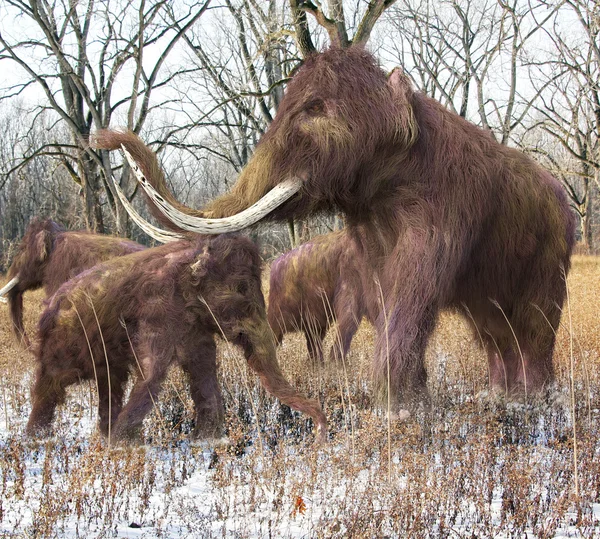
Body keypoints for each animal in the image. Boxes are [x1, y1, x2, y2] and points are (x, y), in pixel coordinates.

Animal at [27, 235, 328, 442]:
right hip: (62, 344)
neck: (194, 255)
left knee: (109, 382)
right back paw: (37, 437)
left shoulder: (194, 327)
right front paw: (121, 444)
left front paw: (206, 439)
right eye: (242, 291)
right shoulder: (156, 312)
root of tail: (48, 306)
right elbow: (152, 372)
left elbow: (203, 371)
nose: (320, 434)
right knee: (51, 384)